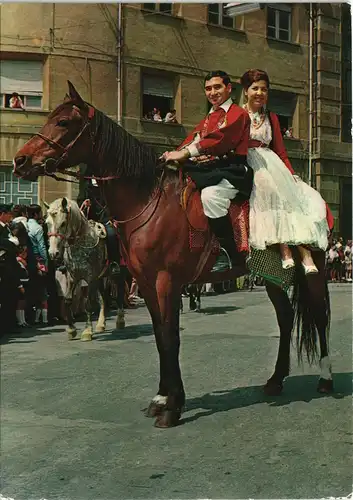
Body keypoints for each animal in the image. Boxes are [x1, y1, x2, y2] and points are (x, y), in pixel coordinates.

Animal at [45, 197, 125, 342]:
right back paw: (101, 324)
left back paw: (120, 320)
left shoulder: (90, 277)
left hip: (119, 273)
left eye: (63, 223)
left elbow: (88, 304)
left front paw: (87, 331)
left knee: (119, 294)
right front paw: (71, 329)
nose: (53, 253)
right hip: (101, 277)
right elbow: (67, 300)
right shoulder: (72, 277)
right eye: (47, 223)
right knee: (104, 298)